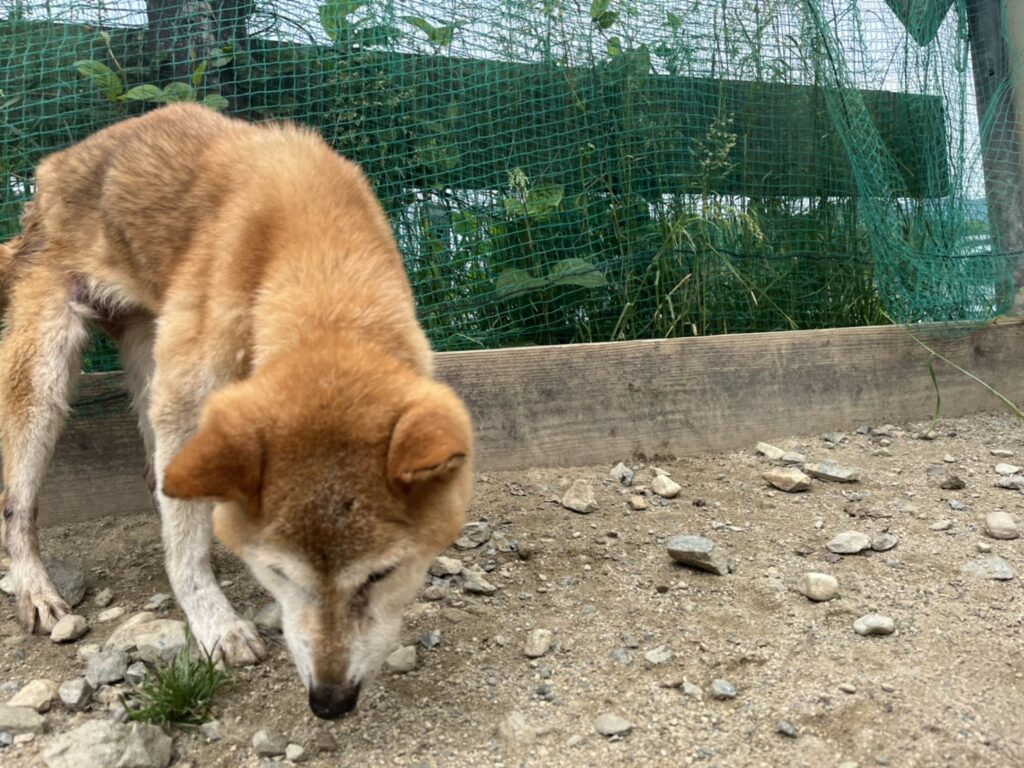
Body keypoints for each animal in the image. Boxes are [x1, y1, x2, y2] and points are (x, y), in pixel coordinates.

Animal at [0, 104, 474, 719]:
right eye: (277, 572)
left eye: (381, 575)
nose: (330, 702)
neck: (317, 255)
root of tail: (49, 172)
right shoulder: (184, 407)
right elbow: (184, 549)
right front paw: (216, 625)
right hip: (47, 383)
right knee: (18, 505)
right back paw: (36, 591)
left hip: (150, 357)